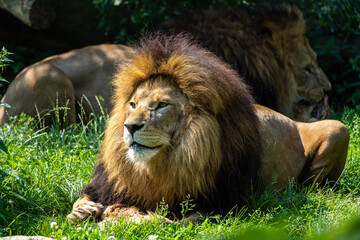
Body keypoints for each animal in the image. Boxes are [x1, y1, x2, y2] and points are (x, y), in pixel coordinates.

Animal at [67, 34, 348, 223]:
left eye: (161, 105)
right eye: (133, 104)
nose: (130, 126)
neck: (161, 165)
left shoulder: (222, 205)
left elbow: (173, 220)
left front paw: (131, 216)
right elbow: (85, 200)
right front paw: (83, 211)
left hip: (338, 129)